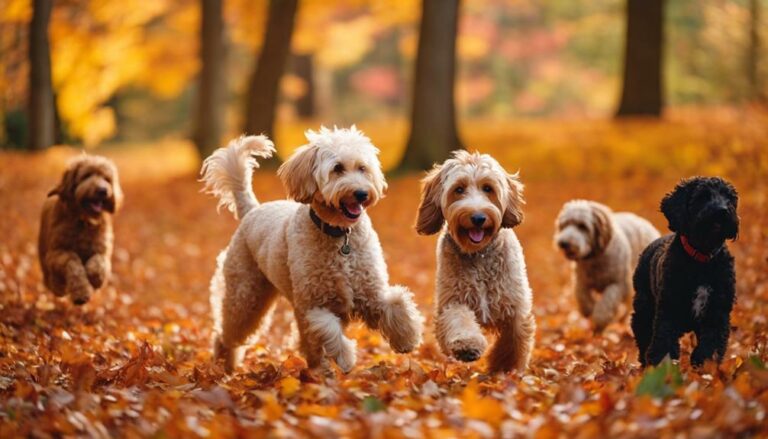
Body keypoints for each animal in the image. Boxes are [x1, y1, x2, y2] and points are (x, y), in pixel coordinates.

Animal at [38, 156, 123, 306]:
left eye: (107, 179)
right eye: (86, 175)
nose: (103, 190)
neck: (84, 221)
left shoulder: (102, 251)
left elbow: (99, 262)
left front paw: (95, 279)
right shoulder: (56, 253)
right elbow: (73, 263)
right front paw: (81, 293)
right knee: (51, 278)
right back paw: (57, 287)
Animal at [201, 127, 424, 374]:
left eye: (362, 168)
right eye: (337, 168)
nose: (362, 193)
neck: (340, 236)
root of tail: (252, 210)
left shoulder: (370, 293)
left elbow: (397, 304)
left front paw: (407, 339)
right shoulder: (314, 304)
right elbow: (329, 329)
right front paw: (346, 359)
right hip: (245, 298)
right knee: (227, 334)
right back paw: (224, 366)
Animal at [420, 151, 536, 374]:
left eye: (488, 188)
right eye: (458, 189)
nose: (478, 217)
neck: (478, 254)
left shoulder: (514, 304)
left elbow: (513, 340)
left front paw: (505, 367)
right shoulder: (452, 300)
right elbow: (458, 319)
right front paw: (467, 345)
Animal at [552, 201, 660, 332]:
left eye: (582, 226)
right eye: (564, 225)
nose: (563, 243)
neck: (595, 258)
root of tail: (645, 223)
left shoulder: (618, 284)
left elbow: (607, 301)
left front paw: (600, 319)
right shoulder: (581, 281)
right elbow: (581, 295)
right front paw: (588, 309)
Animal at [632, 177, 736, 370]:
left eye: (729, 197)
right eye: (702, 196)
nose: (722, 211)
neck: (702, 260)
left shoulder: (717, 312)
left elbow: (711, 343)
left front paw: (704, 365)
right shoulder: (669, 309)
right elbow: (664, 342)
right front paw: (663, 367)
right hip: (643, 309)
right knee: (643, 338)